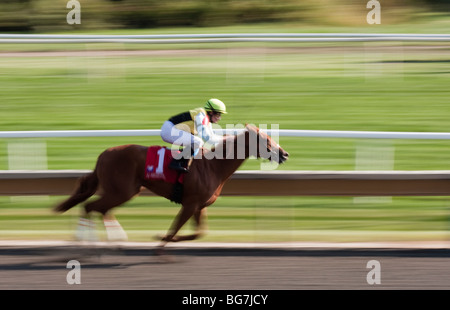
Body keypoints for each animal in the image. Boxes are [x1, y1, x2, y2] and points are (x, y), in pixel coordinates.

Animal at [54, 124, 290, 248]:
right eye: (266, 141)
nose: (285, 154)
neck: (214, 166)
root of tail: (103, 154)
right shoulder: (189, 203)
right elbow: (176, 228)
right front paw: (161, 240)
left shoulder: (199, 206)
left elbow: (198, 234)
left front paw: (166, 238)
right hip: (122, 191)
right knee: (90, 207)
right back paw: (85, 241)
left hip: (121, 191)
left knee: (100, 209)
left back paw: (113, 239)